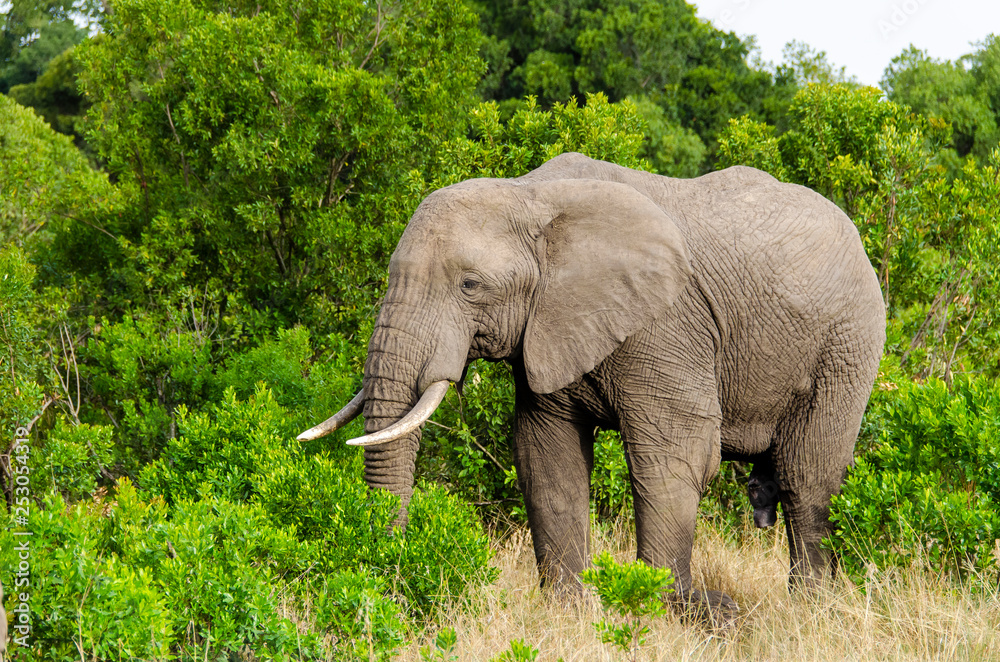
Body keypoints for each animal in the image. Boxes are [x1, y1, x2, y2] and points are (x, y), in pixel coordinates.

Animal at [299, 152, 886, 613]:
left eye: (470, 286)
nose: (391, 577)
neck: (531, 196)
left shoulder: (666, 324)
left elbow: (674, 458)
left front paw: (662, 610)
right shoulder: (548, 328)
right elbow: (547, 458)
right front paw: (570, 612)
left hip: (848, 344)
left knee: (808, 480)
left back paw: (811, 610)